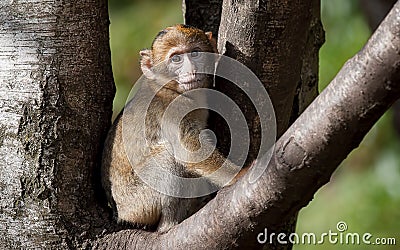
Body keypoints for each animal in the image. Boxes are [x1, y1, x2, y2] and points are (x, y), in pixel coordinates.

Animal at [101, 23, 245, 232]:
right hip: (140, 203)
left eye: (195, 53)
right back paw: (168, 225)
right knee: (168, 157)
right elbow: (191, 151)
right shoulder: (173, 109)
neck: (171, 89)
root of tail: (120, 213)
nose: (191, 70)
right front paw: (241, 174)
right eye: (176, 58)